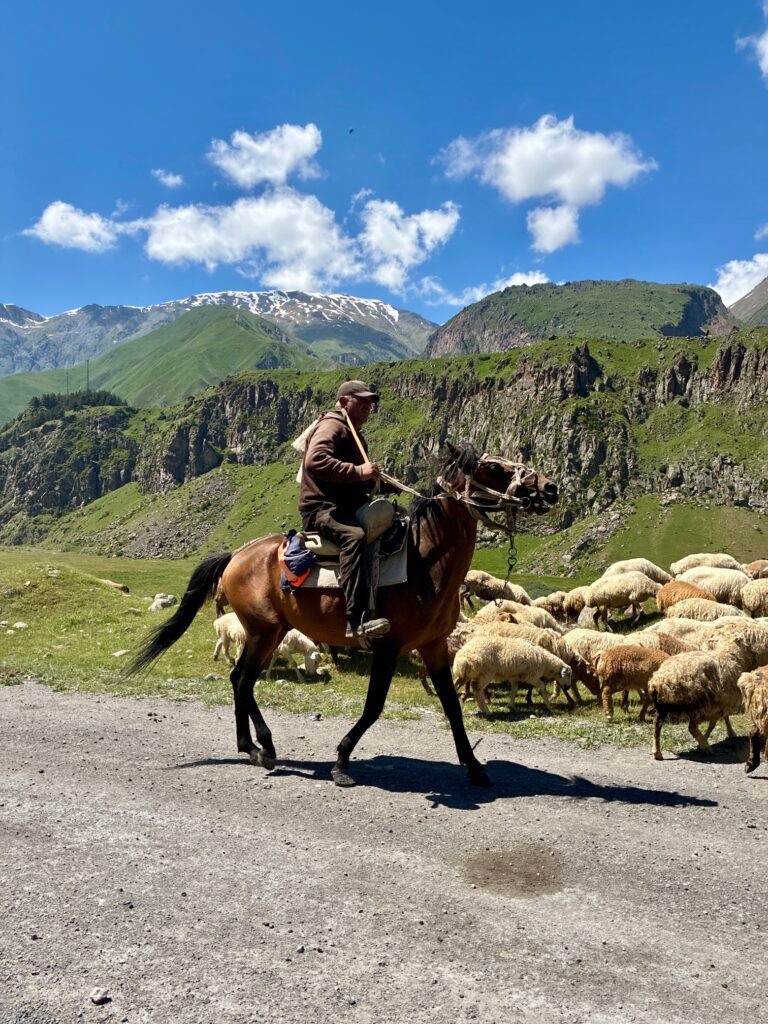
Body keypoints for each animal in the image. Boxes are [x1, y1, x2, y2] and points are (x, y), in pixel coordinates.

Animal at [128, 442, 558, 788]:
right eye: (495, 468)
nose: (549, 488)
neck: (424, 562)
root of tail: (236, 554)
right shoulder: (388, 647)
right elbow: (373, 707)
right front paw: (341, 760)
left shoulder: (435, 647)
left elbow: (452, 706)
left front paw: (475, 767)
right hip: (264, 631)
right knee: (244, 681)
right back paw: (263, 745)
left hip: (267, 633)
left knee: (238, 680)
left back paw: (250, 747)